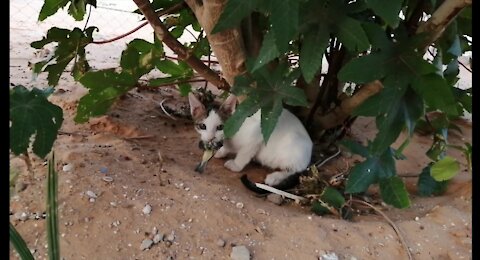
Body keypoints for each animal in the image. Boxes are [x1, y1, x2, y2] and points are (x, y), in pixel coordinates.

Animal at [188, 93, 316, 189]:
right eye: (202, 126)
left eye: (220, 127)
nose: (210, 138)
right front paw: (222, 151)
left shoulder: (257, 133)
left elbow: (244, 154)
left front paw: (236, 165)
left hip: (293, 146)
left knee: (293, 169)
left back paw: (275, 177)